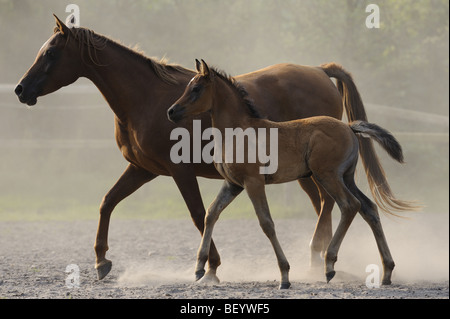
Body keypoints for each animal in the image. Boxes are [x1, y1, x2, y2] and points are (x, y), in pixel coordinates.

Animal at [14, 15, 414, 282]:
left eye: (51, 53)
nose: (20, 89)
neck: (145, 98)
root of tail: (319, 69)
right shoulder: (143, 170)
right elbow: (107, 202)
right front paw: (101, 262)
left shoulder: (180, 171)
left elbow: (197, 214)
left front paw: (211, 267)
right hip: (315, 174)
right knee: (335, 206)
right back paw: (323, 262)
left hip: (314, 173)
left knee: (331, 205)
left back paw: (319, 260)